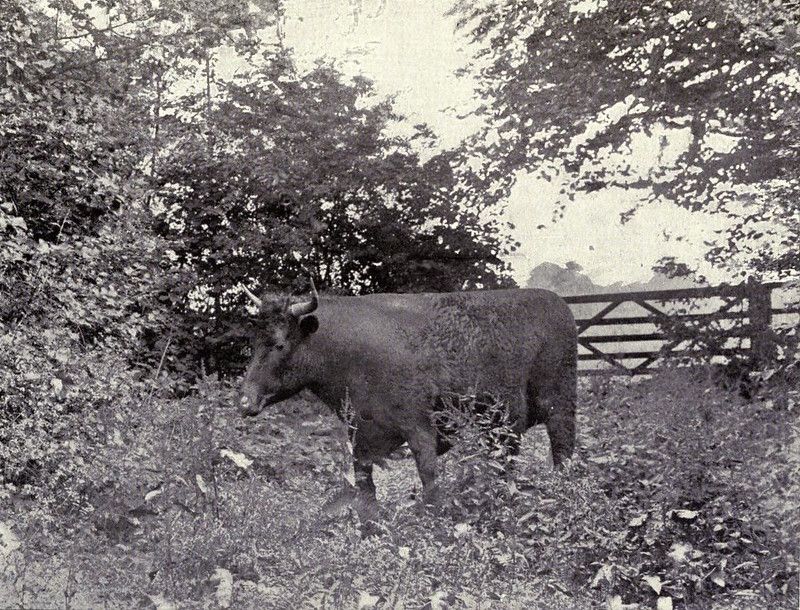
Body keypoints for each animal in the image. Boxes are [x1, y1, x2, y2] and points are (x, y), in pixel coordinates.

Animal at [240, 280, 577, 516]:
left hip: (560, 406)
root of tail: (557, 303)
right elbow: (364, 484)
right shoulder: (361, 433)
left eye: (280, 344)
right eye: (254, 341)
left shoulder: (420, 427)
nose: (245, 401)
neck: (355, 354)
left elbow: (429, 479)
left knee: (563, 452)